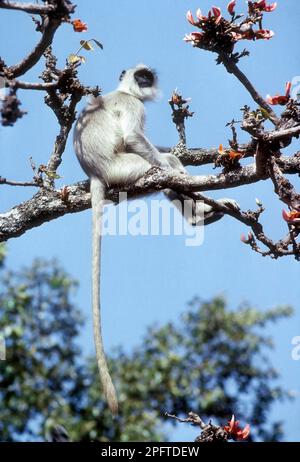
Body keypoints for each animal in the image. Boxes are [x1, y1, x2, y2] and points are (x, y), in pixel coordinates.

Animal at [73, 64, 239, 416]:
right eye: (141, 77)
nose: (145, 83)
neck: (124, 91)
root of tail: (95, 173)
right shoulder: (133, 107)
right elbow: (134, 138)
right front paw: (174, 165)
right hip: (125, 170)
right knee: (162, 169)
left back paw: (200, 215)